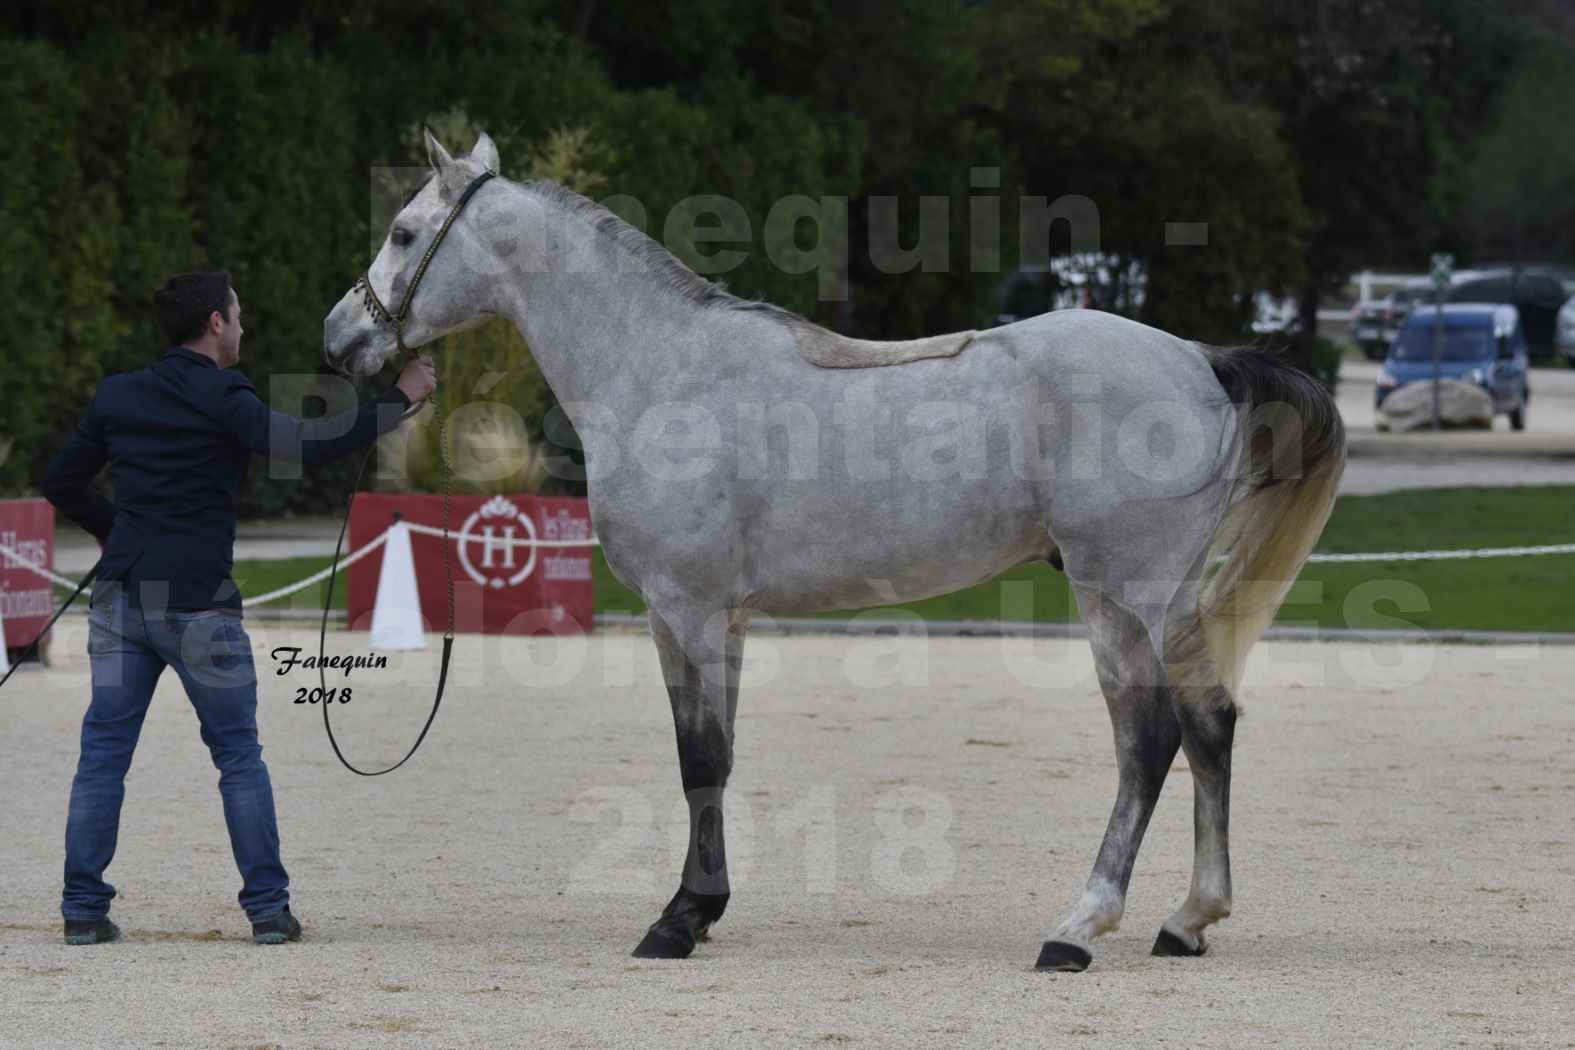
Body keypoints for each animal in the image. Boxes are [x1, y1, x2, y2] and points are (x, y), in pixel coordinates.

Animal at [322, 129, 1341, 969]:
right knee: (1207, 727)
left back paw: (1079, 927)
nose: (341, 338)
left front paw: (675, 921)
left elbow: (698, 758)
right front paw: (704, 908)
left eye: (405, 232)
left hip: (1123, 594)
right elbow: (718, 754)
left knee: (1151, 738)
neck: (660, 370)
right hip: (1157, 602)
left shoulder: (682, 608)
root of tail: (1200, 360)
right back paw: (1186, 920)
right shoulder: (717, 619)